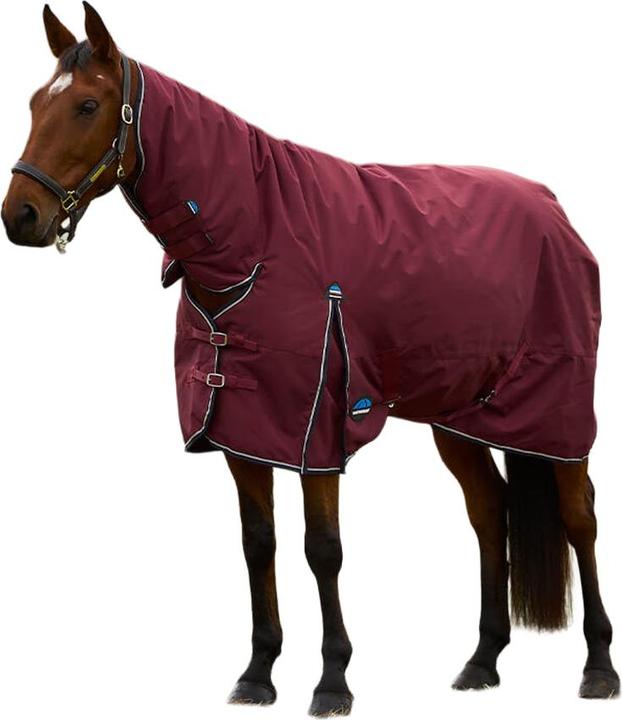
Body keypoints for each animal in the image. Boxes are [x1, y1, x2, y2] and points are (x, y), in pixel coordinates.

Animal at [2, 3, 619, 715]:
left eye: (88, 105)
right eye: (33, 102)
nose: (20, 216)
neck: (259, 239)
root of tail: (553, 209)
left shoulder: (316, 429)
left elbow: (322, 549)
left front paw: (332, 681)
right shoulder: (243, 429)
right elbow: (258, 544)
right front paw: (257, 672)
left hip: (556, 412)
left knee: (579, 517)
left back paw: (598, 667)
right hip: (459, 416)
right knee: (490, 511)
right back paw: (482, 661)